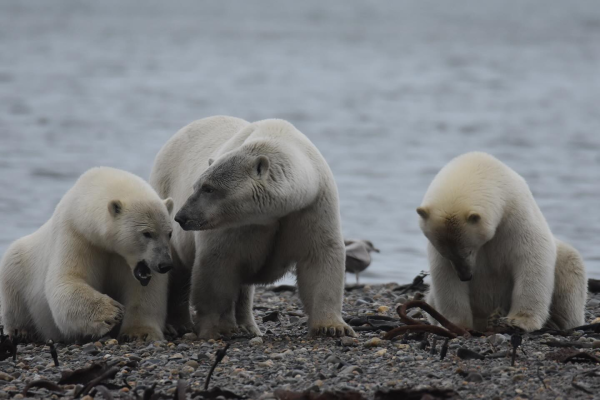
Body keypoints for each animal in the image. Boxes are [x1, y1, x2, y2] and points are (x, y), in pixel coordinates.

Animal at [0, 167, 173, 342]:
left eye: (169, 233)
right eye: (147, 233)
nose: (165, 264)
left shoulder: (125, 261)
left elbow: (145, 291)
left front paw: (140, 333)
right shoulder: (76, 235)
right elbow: (67, 280)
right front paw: (111, 313)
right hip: (20, 264)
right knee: (14, 294)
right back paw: (21, 332)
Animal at [151, 115, 356, 338]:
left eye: (209, 188)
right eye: (196, 186)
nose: (181, 217)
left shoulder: (311, 206)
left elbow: (320, 256)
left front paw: (332, 327)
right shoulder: (237, 224)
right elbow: (218, 264)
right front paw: (219, 328)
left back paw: (247, 325)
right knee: (177, 270)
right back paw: (178, 324)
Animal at [418, 152, 584, 332]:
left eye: (468, 250)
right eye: (446, 253)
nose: (465, 276)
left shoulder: (516, 218)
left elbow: (532, 258)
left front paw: (519, 321)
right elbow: (445, 276)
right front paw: (456, 324)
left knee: (570, 267)